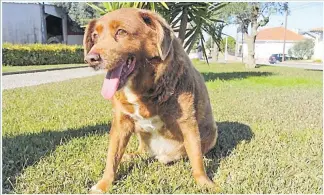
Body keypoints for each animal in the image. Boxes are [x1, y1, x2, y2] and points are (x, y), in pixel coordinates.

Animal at [83, 8, 218, 193]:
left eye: (121, 32)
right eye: (95, 36)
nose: (90, 59)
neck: (143, 89)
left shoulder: (187, 122)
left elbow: (196, 159)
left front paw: (205, 183)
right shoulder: (120, 123)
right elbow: (111, 157)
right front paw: (104, 184)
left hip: (212, 134)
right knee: (141, 151)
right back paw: (130, 155)